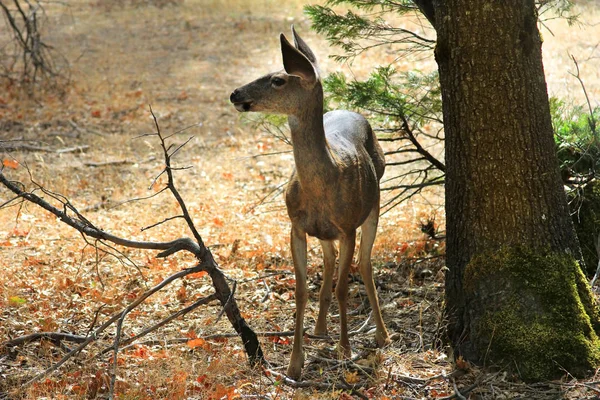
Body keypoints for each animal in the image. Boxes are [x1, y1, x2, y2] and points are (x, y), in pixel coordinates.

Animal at [229, 26, 390, 380]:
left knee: (366, 264)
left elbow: (344, 286)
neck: (323, 185)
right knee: (329, 261)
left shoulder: (347, 227)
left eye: (278, 79)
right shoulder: (296, 226)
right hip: (326, 231)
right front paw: (294, 362)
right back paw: (319, 329)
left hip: (373, 204)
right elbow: (302, 291)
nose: (234, 93)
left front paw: (345, 349)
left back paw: (381, 334)